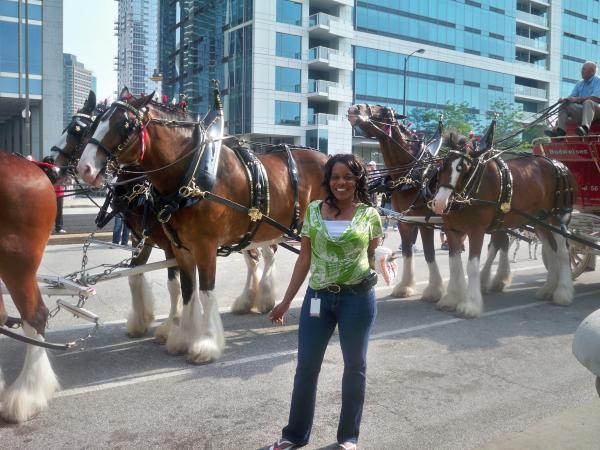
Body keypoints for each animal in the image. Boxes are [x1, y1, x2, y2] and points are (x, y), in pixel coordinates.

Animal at [77, 89, 328, 364]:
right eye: (96, 122)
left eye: (124, 125)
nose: (84, 168)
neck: (191, 176)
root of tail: (328, 157)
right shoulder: (177, 247)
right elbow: (185, 290)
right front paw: (181, 337)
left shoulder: (204, 247)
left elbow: (205, 292)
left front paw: (205, 344)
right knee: (261, 258)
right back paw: (254, 300)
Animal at [432, 126, 576, 316]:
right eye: (442, 165)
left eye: (463, 168)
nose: (439, 203)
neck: (474, 186)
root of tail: (559, 164)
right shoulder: (452, 230)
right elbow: (454, 264)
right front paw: (451, 298)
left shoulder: (476, 231)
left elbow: (472, 266)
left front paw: (471, 305)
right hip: (540, 222)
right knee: (550, 250)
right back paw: (548, 289)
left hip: (556, 219)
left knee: (562, 252)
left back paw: (563, 292)